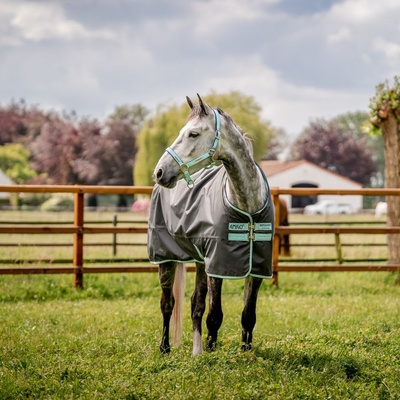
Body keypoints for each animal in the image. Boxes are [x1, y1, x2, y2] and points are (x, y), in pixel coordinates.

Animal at [147, 94, 276, 356]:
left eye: (193, 134)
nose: (160, 172)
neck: (247, 207)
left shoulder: (256, 267)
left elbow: (248, 315)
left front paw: (245, 351)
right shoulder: (218, 265)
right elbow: (215, 315)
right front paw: (212, 350)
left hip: (199, 261)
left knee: (195, 304)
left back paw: (195, 351)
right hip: (165, 258)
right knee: (167, 303)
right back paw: (165, 348)